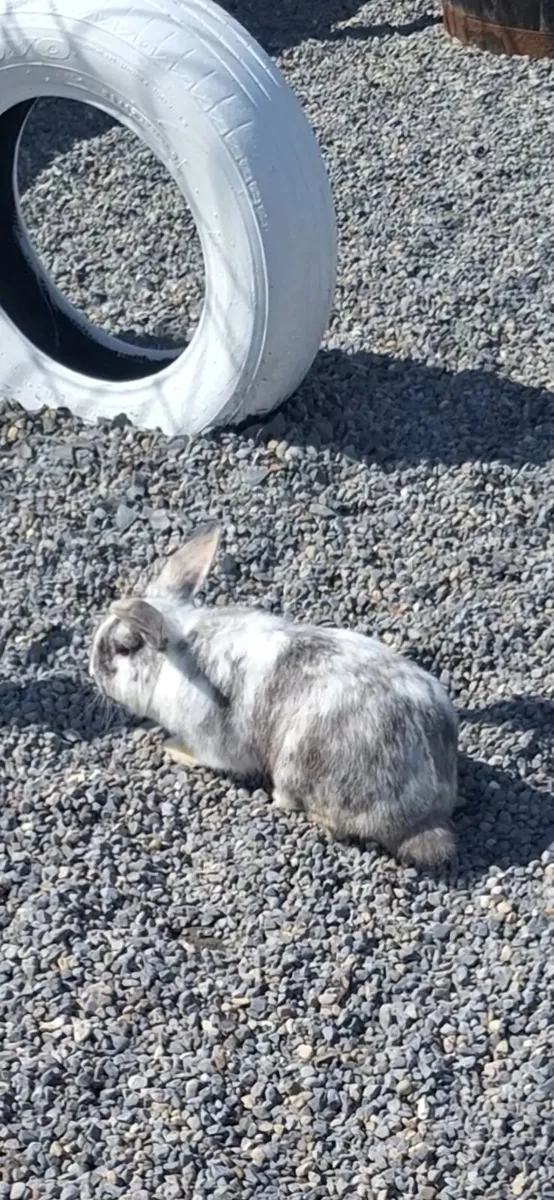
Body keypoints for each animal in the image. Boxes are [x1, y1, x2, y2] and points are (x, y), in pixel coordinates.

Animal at [90, 523, 459, 868]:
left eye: (124, 648)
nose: (92, 670)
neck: (175, 659)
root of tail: (425, 814)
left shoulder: (212, 743)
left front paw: (173, 748)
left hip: (298, 767)